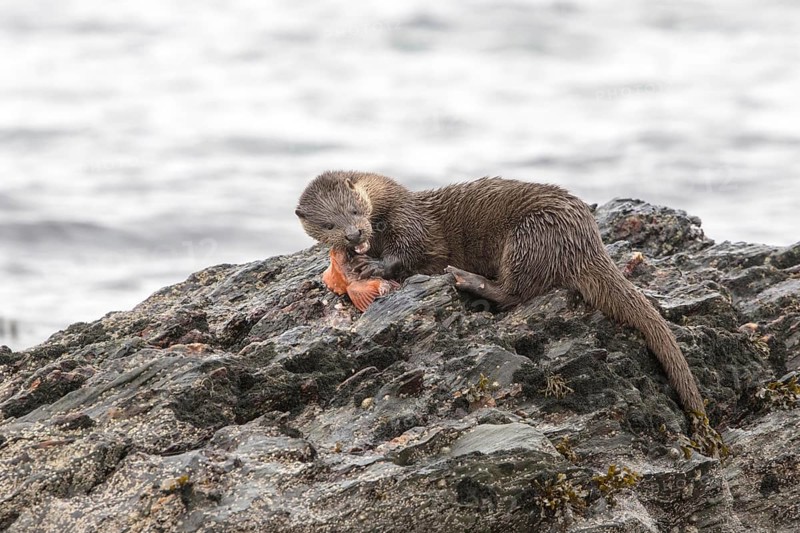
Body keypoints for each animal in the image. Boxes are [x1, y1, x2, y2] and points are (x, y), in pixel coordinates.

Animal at [295, 171, 706, 417]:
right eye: (328, 224)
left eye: (355, 209)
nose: (354, 234)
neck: (390, 204)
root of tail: (587, 239)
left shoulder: (413, 224)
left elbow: (411, 252)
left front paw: (375, 267)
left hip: (527, 236)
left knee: (514, 292)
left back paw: (465, 279)